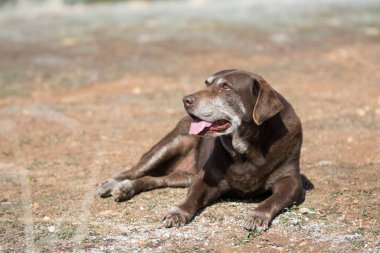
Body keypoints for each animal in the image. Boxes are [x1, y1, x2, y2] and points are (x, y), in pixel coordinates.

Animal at [97, 69, 302, 231]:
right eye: (206, 83)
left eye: (225, 87)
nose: (185, 100)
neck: (247, 149)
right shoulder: (206, 178)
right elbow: (192, 198)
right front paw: (178, 212)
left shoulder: (291, 181)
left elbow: (273, 199)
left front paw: (257, 215)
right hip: (171, 145)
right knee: (134, 171)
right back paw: (114, 185)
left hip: (182, 176)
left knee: (155, 179)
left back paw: (127, 188)